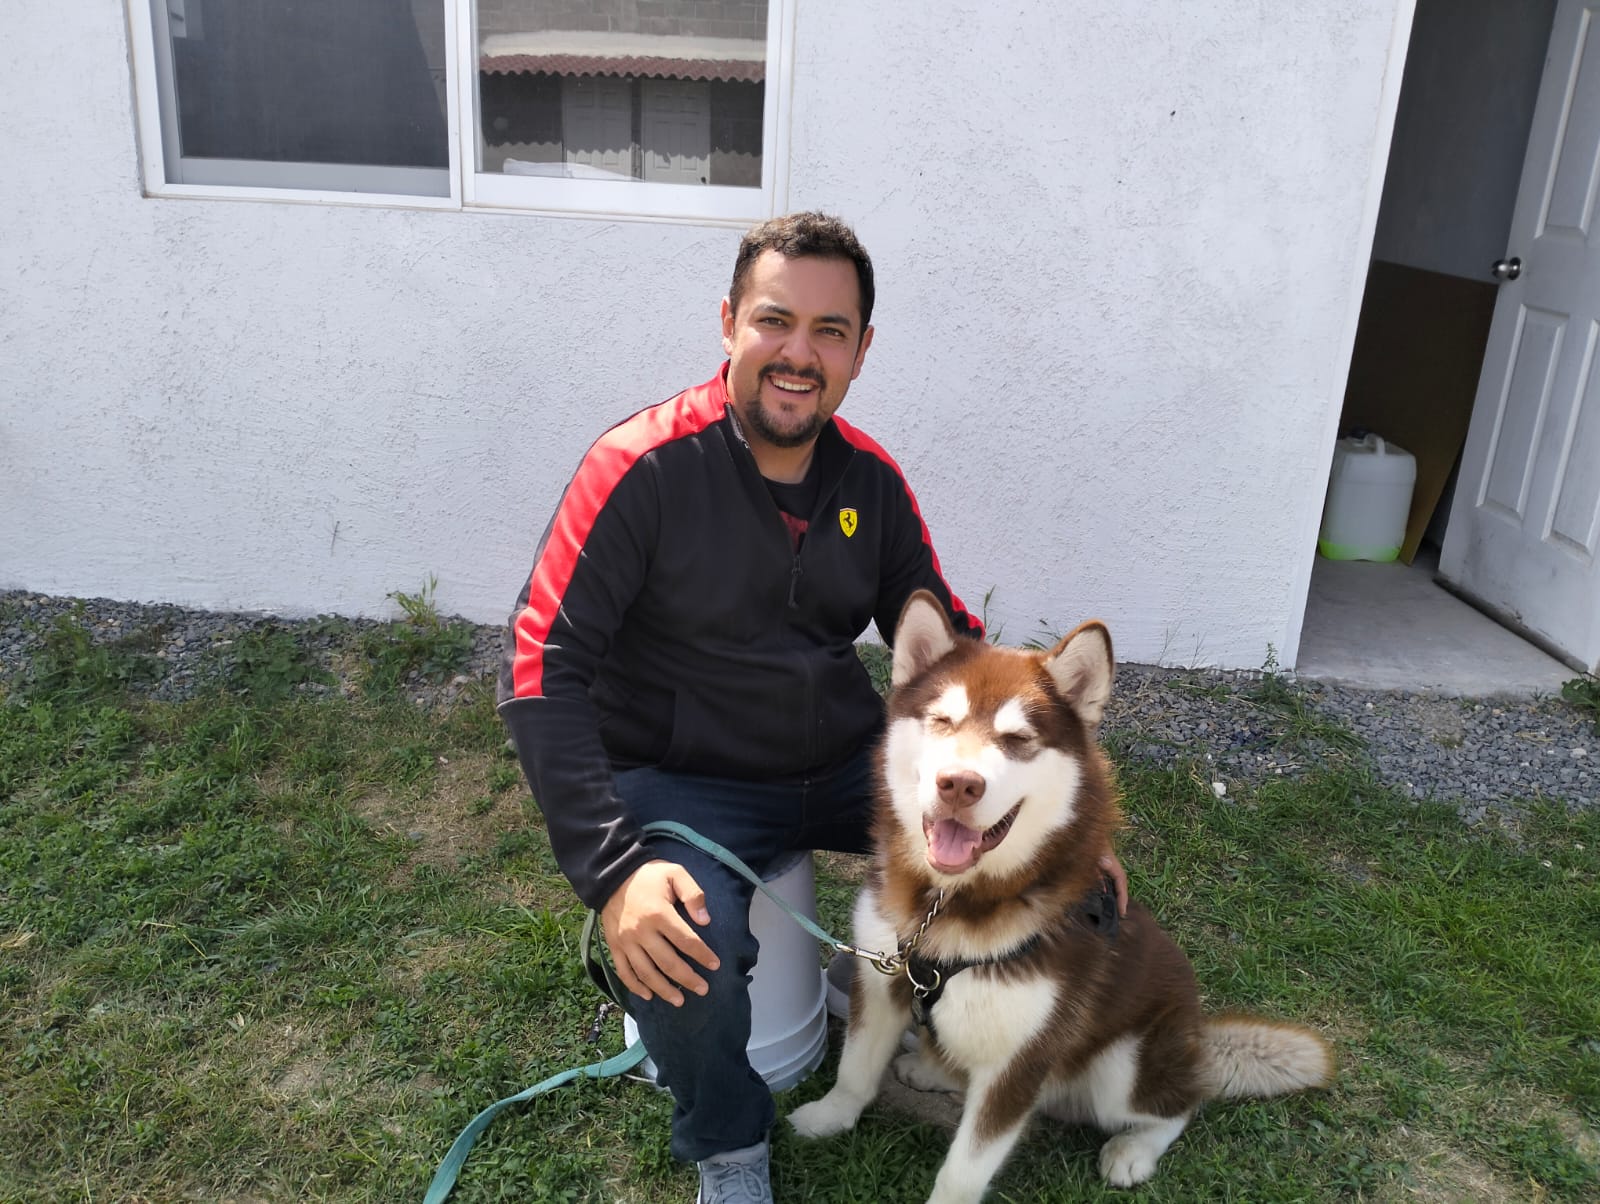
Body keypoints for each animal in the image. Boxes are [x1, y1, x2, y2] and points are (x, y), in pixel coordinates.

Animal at [788, 591, 1334, 1202]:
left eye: (1018, 740)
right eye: (942, 721)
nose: (959, 784)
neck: (948, 904)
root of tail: (1199, 1040)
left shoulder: (1024, 1056)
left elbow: (965, 1168)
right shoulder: (882, 981)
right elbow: (855, 1069)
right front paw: (828, 1117)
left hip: (1126, 1063)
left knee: (1178, 1106)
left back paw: (1132, 1150)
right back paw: (930, 1067)